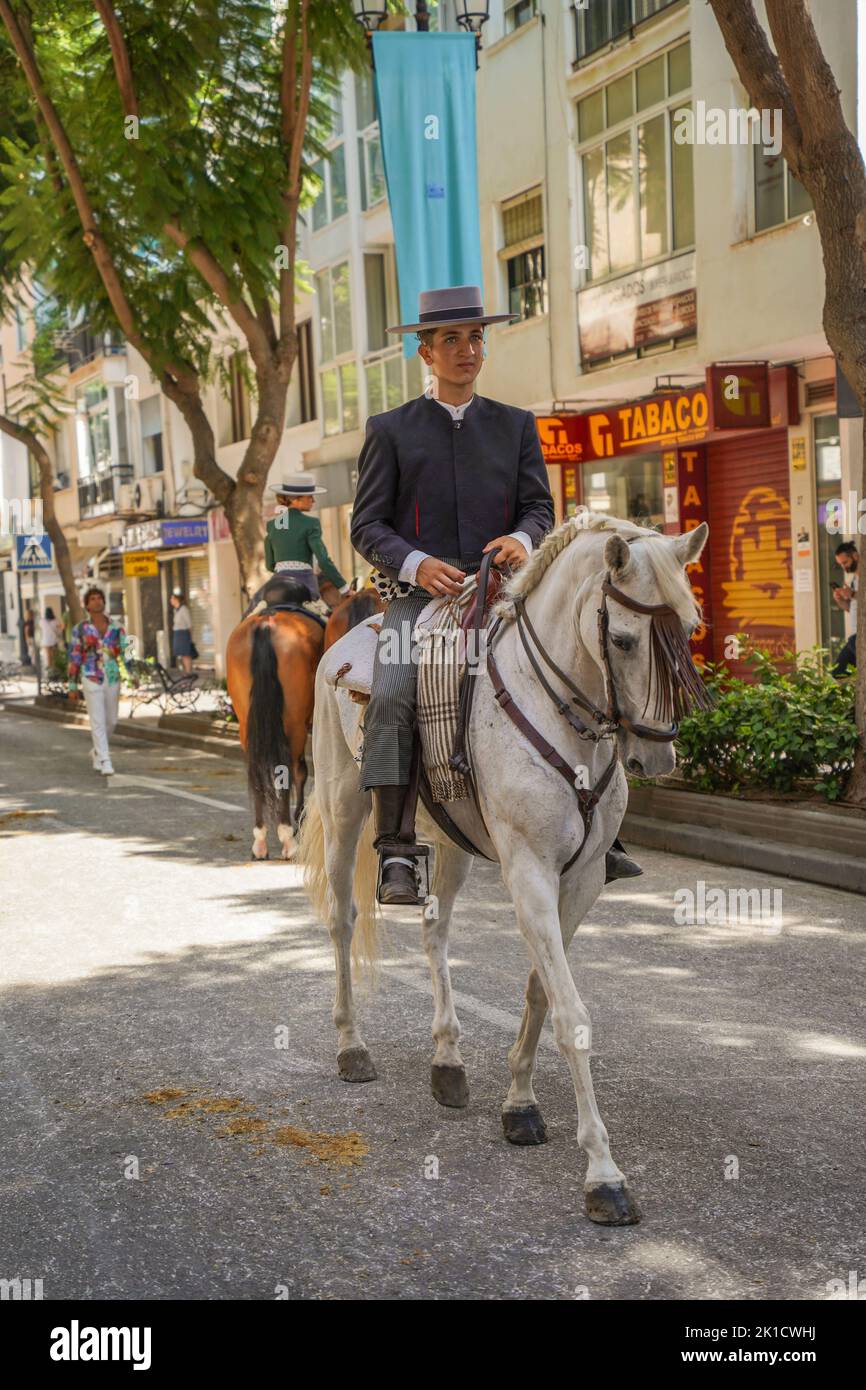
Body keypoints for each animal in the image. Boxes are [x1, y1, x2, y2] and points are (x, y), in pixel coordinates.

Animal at [226, 577, 385, 861]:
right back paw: (288, 836)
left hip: (248, 721)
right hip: (294, 721)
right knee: (292, 768)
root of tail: (266, 622)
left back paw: (261, 838)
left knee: (257, 769)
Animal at [298, 512, 710, 1225]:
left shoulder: (580, 882)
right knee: (344, 921)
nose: (657, 758)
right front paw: (603, 1173)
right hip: (344, 807)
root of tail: (345, 634)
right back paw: (352, 1047)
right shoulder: (529, 874)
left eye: (688, 628)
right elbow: (571, 1013)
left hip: (455, 842)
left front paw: (519, 1104)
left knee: (435, 934)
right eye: (624, 639)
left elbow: (542, 993)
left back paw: (448, 1061)